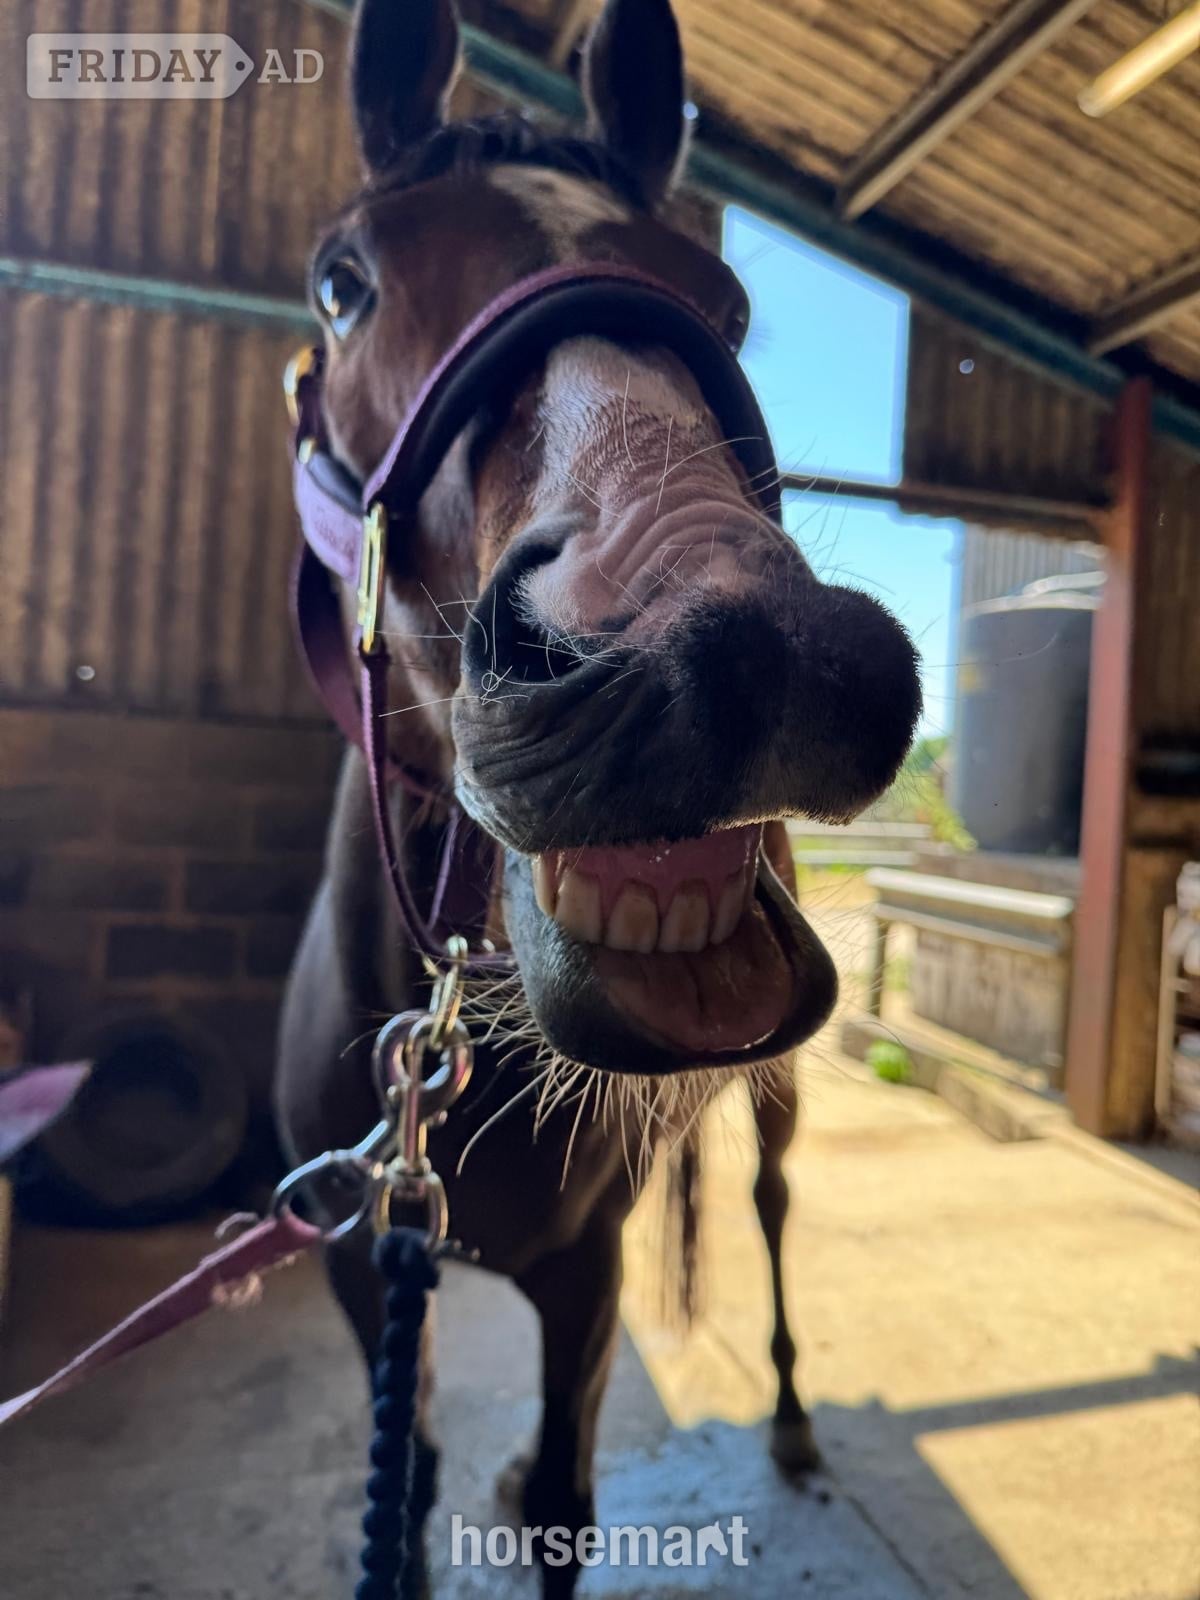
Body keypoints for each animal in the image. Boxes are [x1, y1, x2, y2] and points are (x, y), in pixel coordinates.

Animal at [274, 1, 921, 1593]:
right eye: (340, 283)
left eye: (729, 307)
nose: (740, 650)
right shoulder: (363, 1267)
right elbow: (409, 1485)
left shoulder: (588, 1274)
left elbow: (566, 1503)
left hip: (773, 1104)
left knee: (768, 1201)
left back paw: (793, 1414)